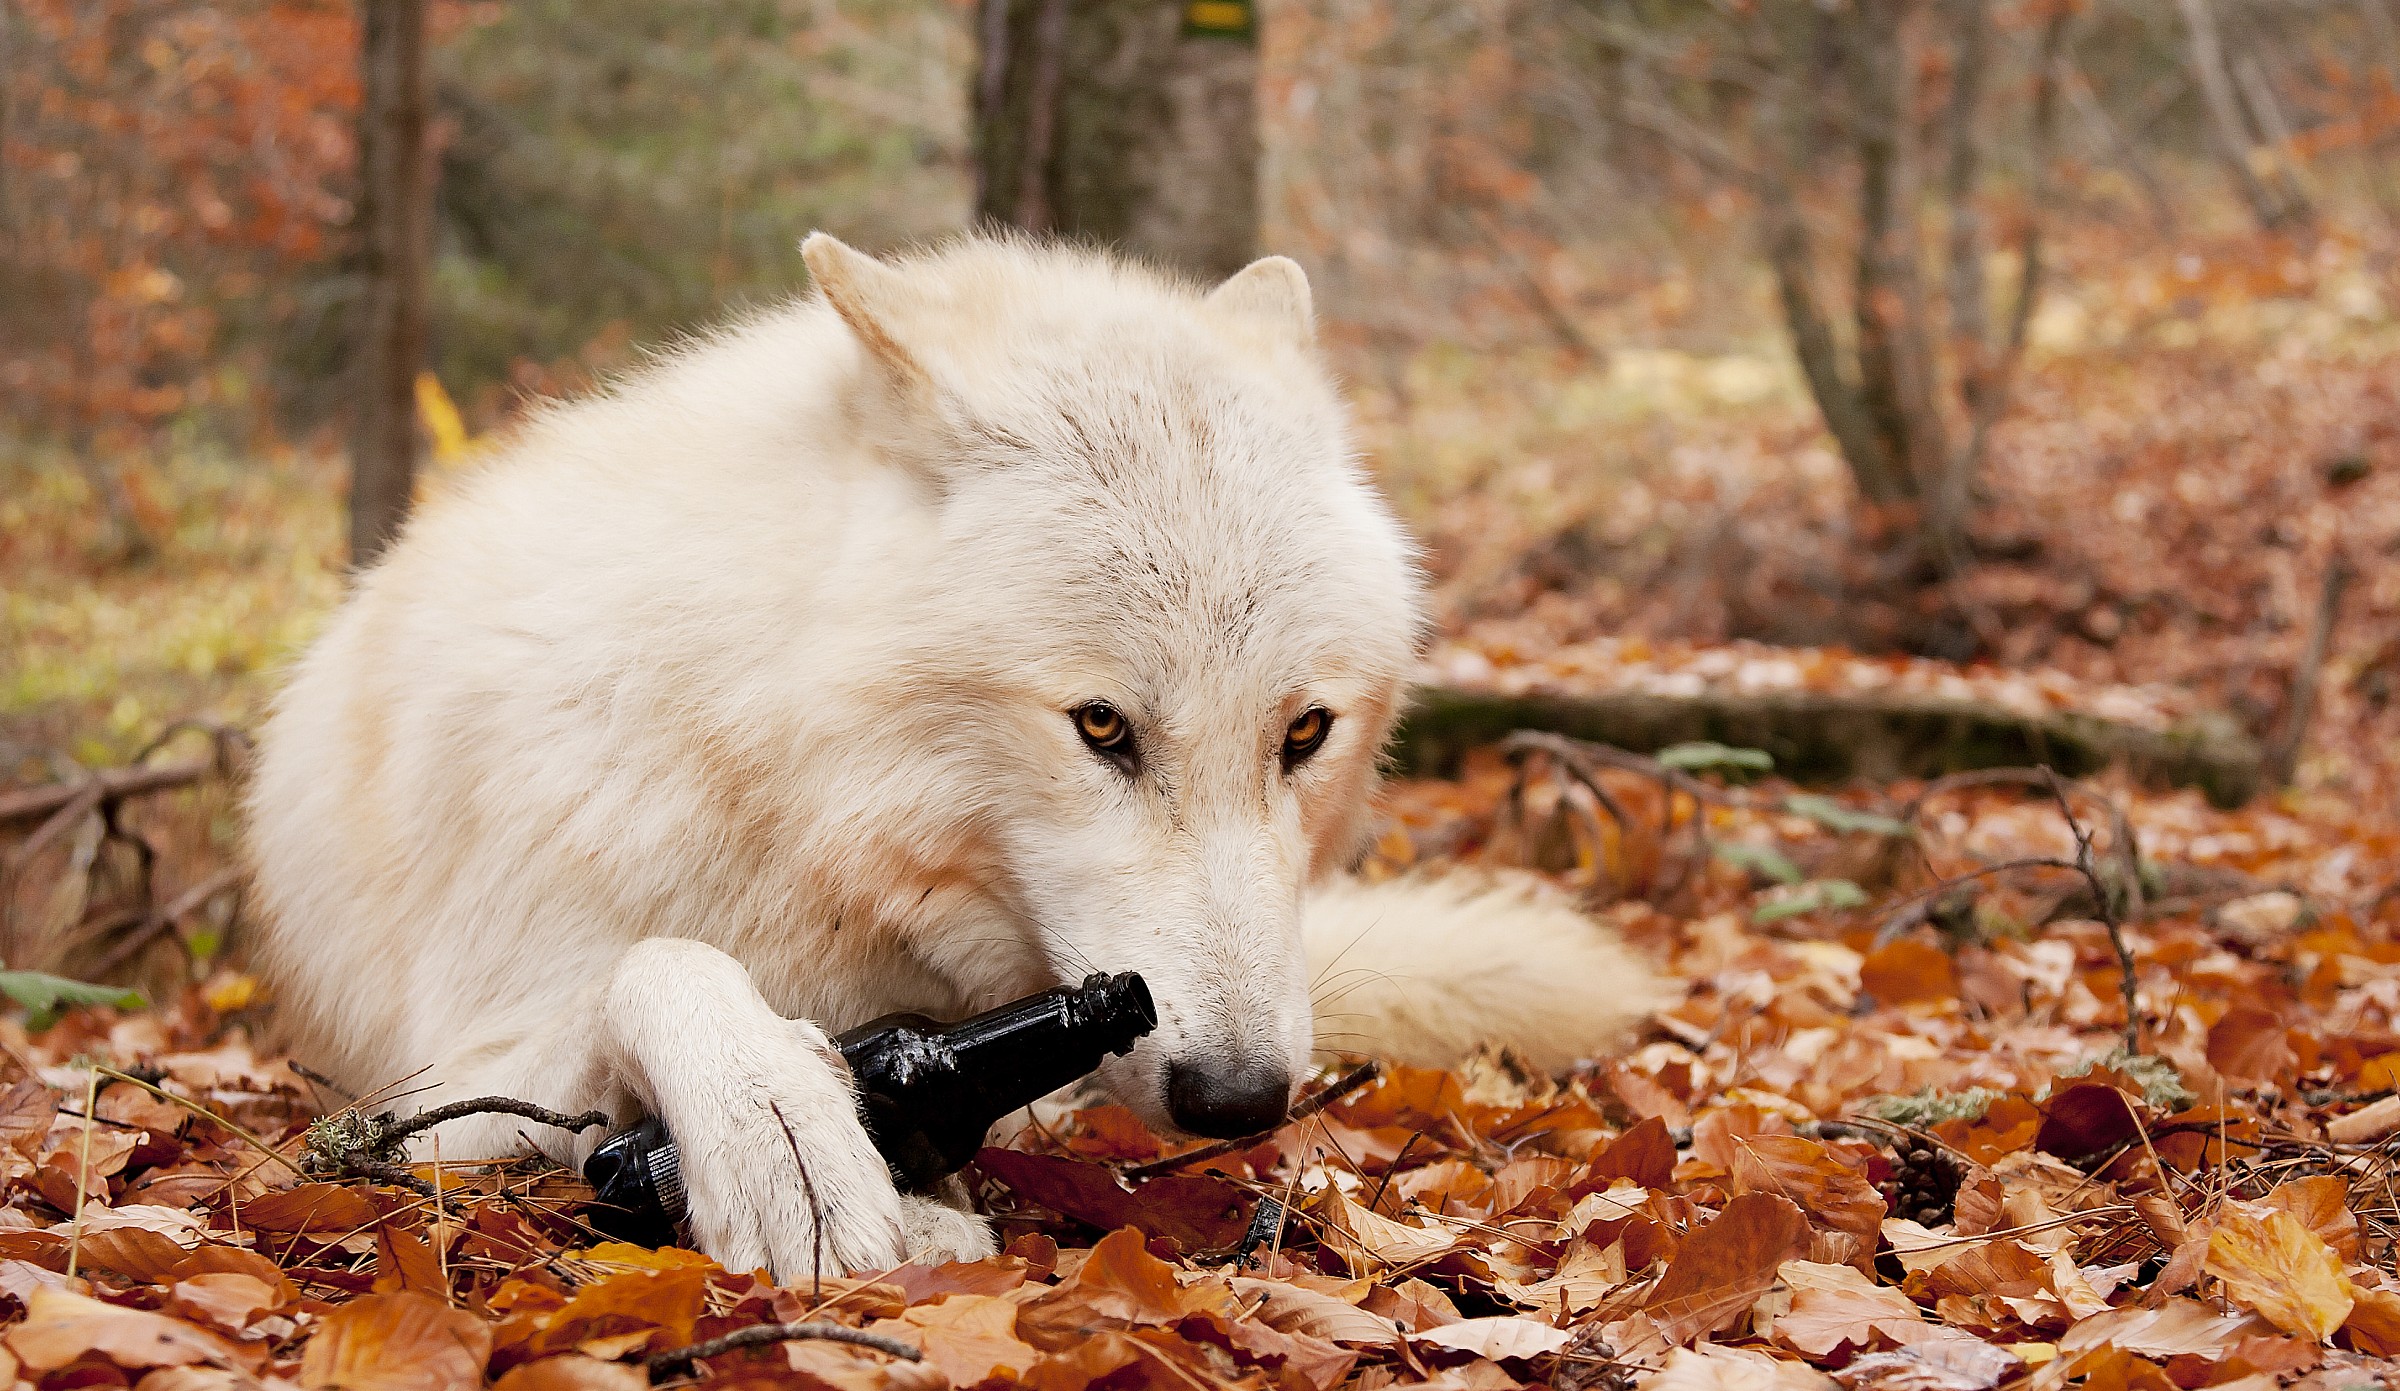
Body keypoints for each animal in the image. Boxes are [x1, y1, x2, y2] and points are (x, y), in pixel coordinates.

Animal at [243, 234, 1671, 1279]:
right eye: (1101, 726)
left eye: (1303, 732)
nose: (1239, 1096)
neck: (791, 789)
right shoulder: (450, 1074)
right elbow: (660, 964)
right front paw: (782, 1126)